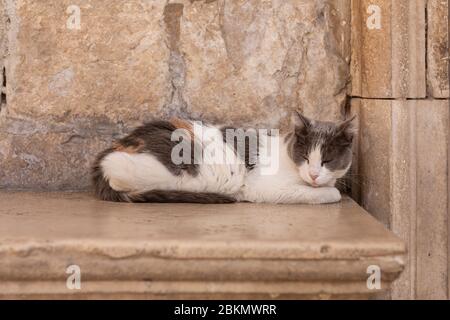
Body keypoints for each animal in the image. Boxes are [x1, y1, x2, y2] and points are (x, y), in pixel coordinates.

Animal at [92, 111, 356, 204]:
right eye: (305, 156)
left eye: (327, 160)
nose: (314, 174)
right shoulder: (263, 188)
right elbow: (330, 193)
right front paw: (329, 191)